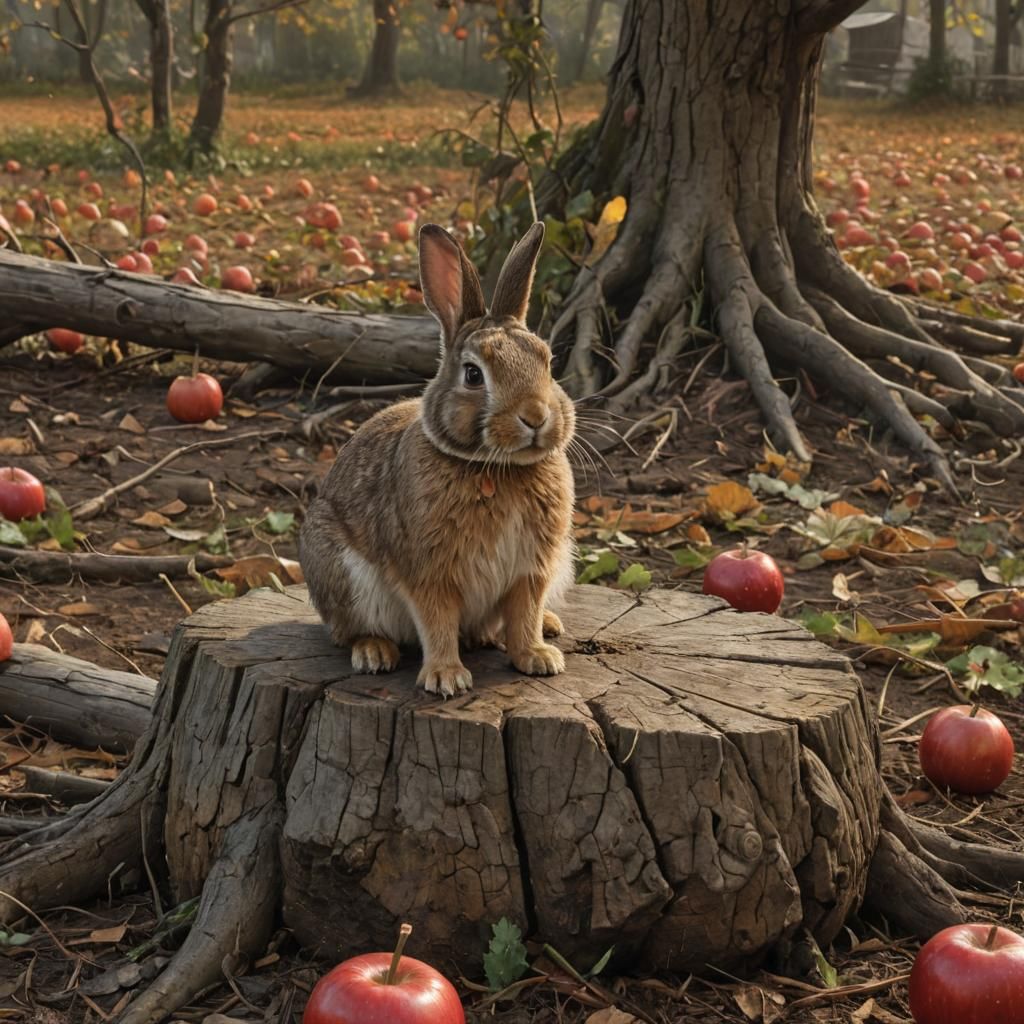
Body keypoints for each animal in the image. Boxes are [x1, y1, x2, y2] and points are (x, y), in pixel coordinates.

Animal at [300, 221, 576, 698]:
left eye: (548, 361)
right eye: (473, 374)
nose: (536, 417)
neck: (496, 468)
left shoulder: (532, 570)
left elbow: (524, 614)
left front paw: (537, 658)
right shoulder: (429, 572)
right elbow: (437, 621)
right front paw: (446, 678)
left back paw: (547, 627)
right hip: (339, 571)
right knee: (349, 630)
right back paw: (374, 653)